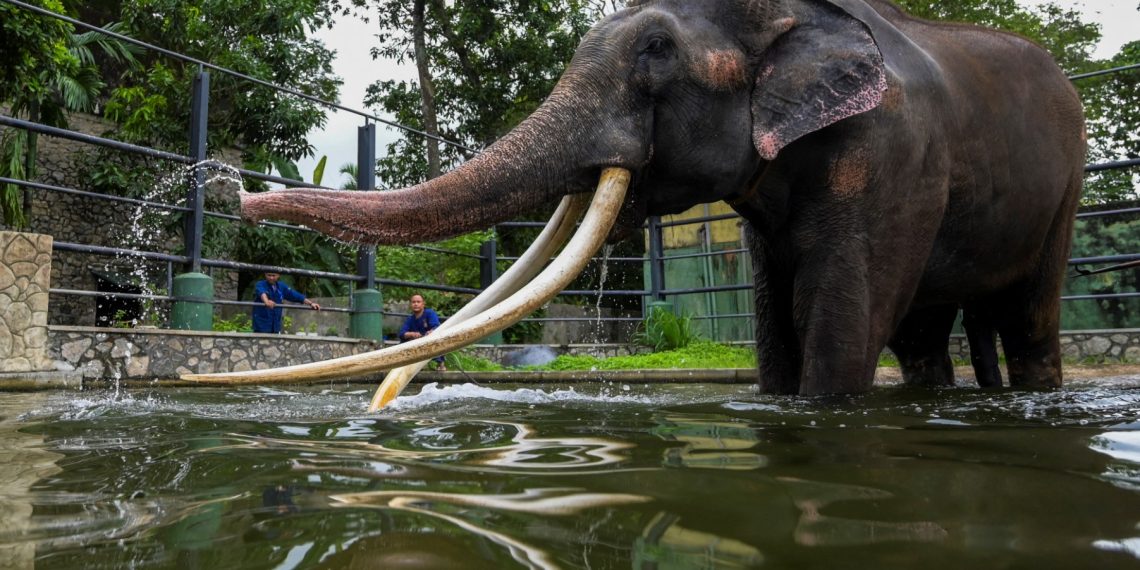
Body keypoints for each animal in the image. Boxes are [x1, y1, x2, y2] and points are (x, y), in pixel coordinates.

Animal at [198, 0, 1085, 394]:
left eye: (657, 50)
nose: (231, 189)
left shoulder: (890, 152)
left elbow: (839, 317)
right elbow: (776, 316)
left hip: (1065, 190)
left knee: (1024, 318)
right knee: (931, 334)